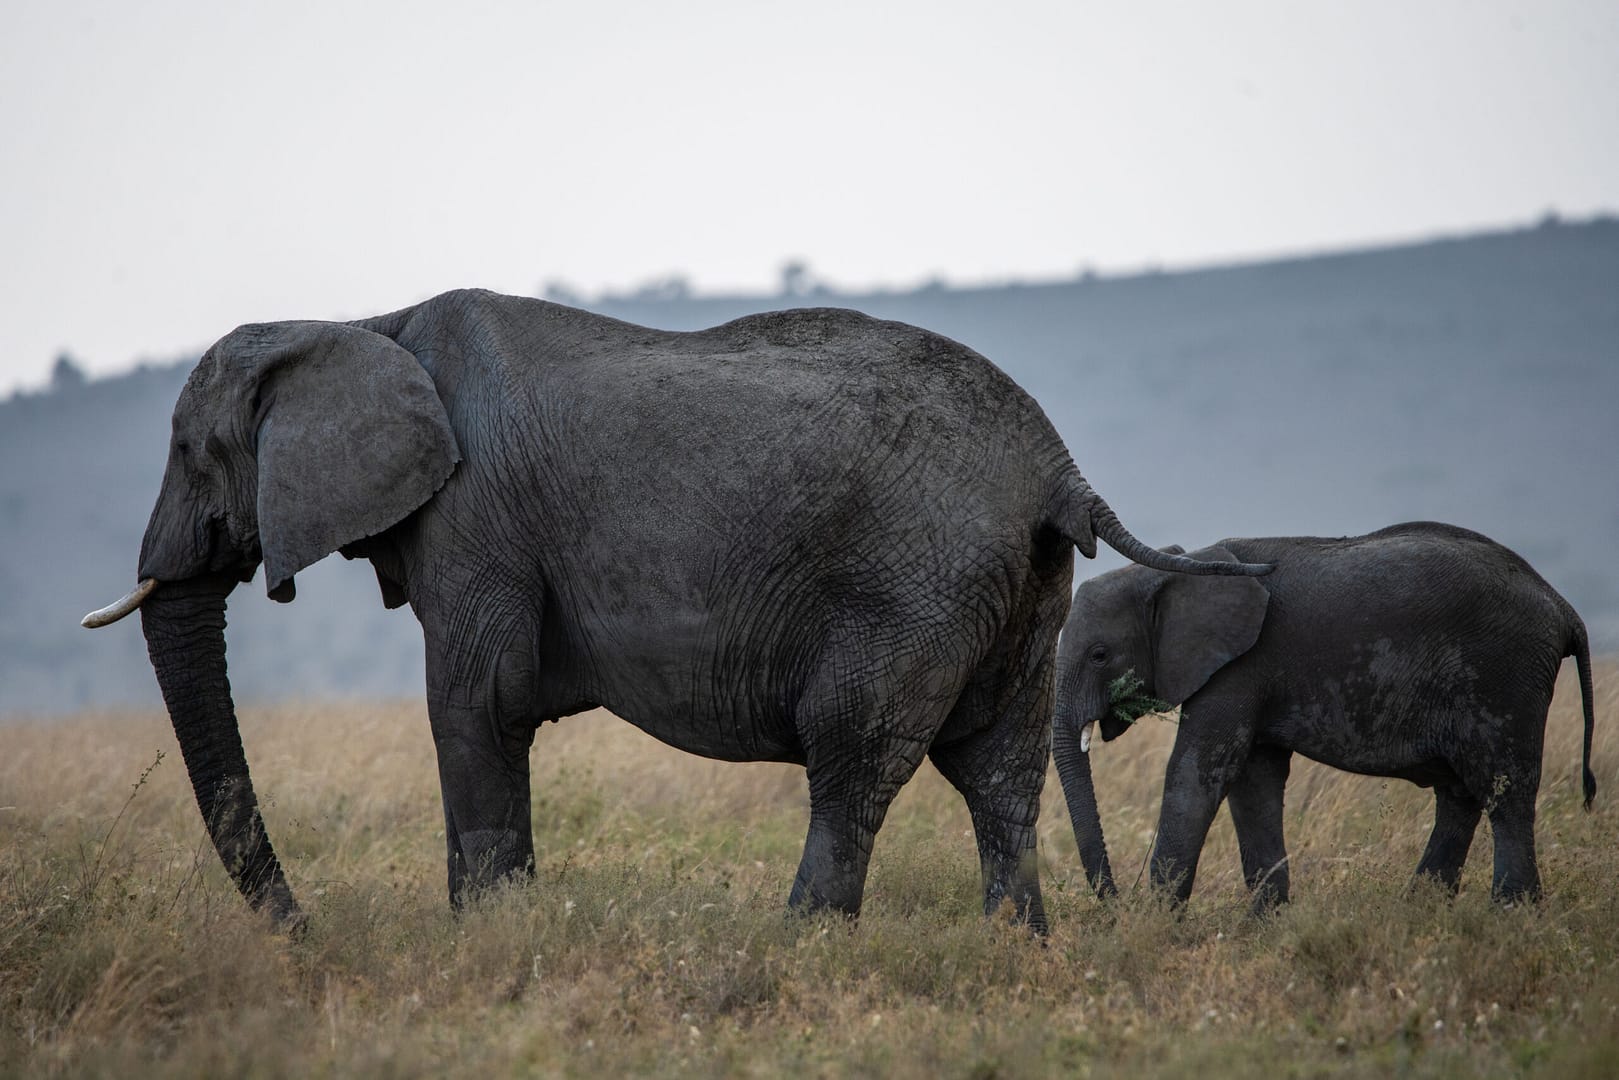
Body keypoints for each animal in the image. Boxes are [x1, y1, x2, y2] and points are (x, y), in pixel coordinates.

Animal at [83, 288, 1269, 931]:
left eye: (190, 451)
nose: (306, 932)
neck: (360, 321)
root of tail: (1055, 466)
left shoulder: (474, 523)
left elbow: (475, 705)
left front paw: (486, 942)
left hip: (911, 582)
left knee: (853, 754)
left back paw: (798, 947)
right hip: (1019, 587)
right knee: (999, 767)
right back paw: (1012, 947)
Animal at [1052, 521, 1597, 911]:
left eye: (1099, 655)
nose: (1113, 904)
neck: (1179, 567)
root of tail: (1564, 608)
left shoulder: (1240, 666)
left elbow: (1199, 774)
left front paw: (1156, 926)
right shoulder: (1250, 673)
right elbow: (1253, 783)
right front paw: (1266, 924)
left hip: (1505, 677)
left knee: (1505, 789)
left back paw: (1511, 914)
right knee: (1461, 794)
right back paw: (1421, 910)